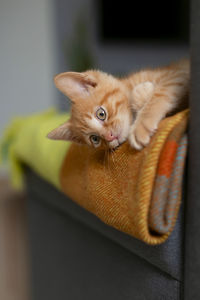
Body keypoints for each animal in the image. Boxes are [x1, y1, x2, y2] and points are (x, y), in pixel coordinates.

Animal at [47, 59, 190, 150]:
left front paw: (141, 124)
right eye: (95, 139)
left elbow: (161, 92)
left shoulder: (179, 73)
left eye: (101, 114)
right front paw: (142, 93)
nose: (110, 137)